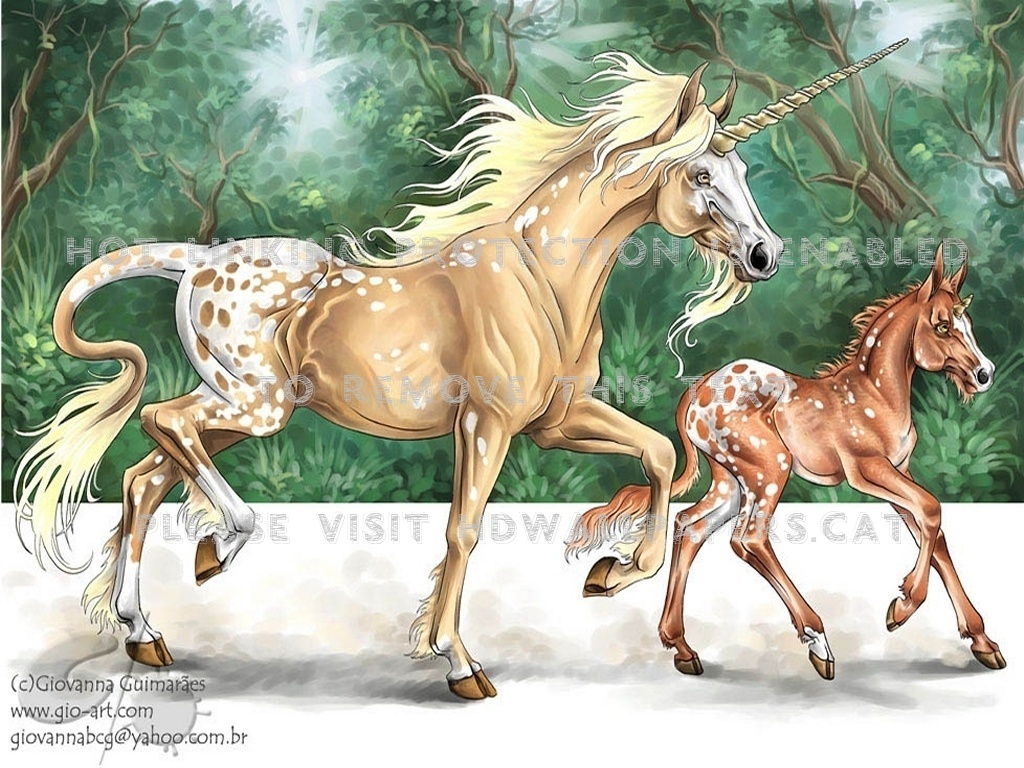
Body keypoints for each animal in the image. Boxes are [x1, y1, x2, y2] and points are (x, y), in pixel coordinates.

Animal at [15, 43, 904, 700]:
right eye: (699, 175)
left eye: (744, 173)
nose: (764, 255)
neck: (544, 278)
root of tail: (196, 260)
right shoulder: (488, 425)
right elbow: (464, 528)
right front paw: (458, 662)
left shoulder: (555, 423)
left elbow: (657, 456)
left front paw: (611, 574)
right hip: (253, 406)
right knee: (160, 430)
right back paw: (218, 549)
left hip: (241, 408)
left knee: (143, 476)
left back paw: (145, 635)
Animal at [568, 245, 1004, 680]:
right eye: (942, 326)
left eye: (967, 322)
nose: (984, 373)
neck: (877, 394)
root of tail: (696, 393)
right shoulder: (866, 470)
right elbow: (932, 510)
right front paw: (901, 607)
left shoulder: (898, 472)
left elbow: (934, 533)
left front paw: (983, 642)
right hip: (768, 470)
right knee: (748, 539)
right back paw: (817, 641)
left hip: (731, 482)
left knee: (689, 526)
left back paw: (680, 647)